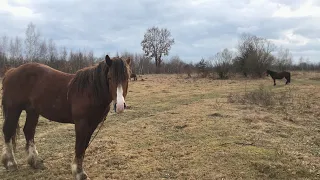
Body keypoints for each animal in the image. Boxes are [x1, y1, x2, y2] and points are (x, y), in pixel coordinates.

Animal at [1, 55, 131, 180]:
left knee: (29, 131)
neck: (90, 92)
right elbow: (79, 147)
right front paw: (79, 173)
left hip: (32, 111)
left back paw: (35, 161)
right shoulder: (81, 124)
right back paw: (10, 163)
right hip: (14, 110)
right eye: (109, 78)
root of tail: (11, 71)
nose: (120, 106)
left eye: (127, 78)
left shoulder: (92, 125)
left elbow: (84, 147)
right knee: (8, 131)